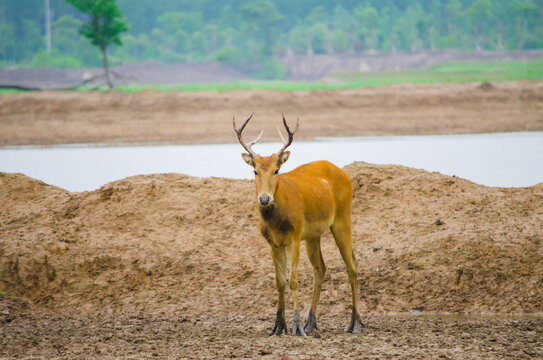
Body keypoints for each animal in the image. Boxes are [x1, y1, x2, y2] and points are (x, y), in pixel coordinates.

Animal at [234, 114, 366, 336]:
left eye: (276, 170)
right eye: (254, 171)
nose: (264, 198)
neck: (276, 222)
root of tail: (344, 174)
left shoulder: (294, 236)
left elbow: (293, 279)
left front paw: (295, 326)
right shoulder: (273, 243)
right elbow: (279, 281)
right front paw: (278, 326)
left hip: (342, 218)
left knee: (352, 264)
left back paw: (354, 323)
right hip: (313, 235)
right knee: (320, 268)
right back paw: (311, 323)